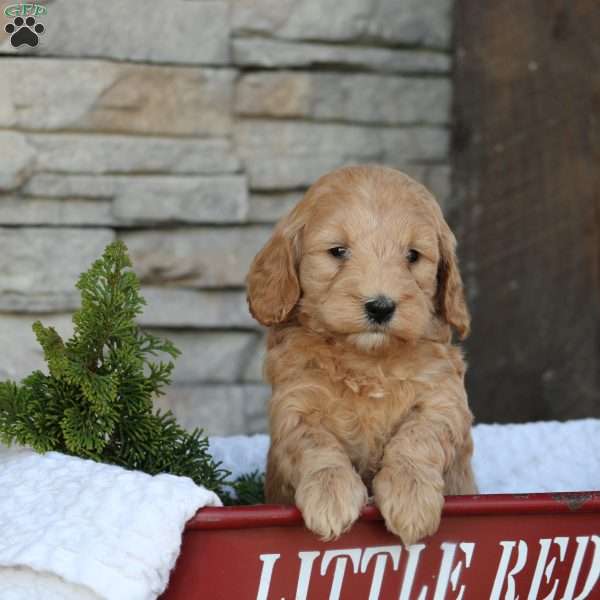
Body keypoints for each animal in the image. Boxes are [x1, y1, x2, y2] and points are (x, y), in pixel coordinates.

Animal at [246, 165, 476, 548]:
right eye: (338, 251)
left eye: (413, 256)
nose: (381, 306)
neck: (369, 361)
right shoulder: (294, 403)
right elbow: (315, 443)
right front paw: (330, 493)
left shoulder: (442, 398)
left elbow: (420, 436)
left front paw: (411, 495)